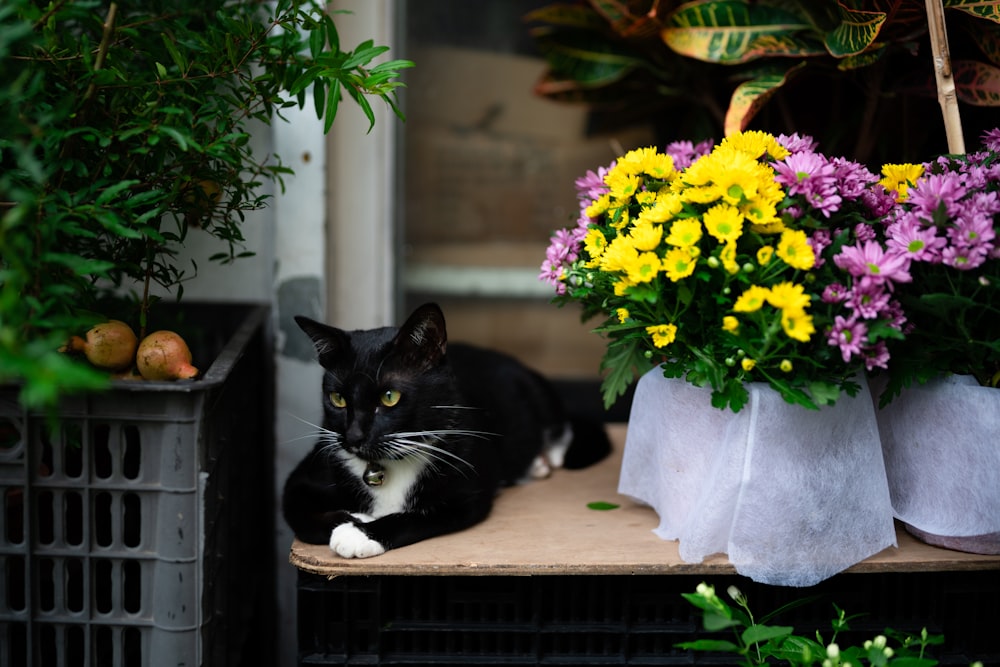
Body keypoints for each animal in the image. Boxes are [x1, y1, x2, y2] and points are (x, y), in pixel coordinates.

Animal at [282, 302, 608, 560]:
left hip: (537, 395)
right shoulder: (311, 469)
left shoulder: (466, 493)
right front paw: (351, 519)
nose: (354, 437)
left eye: (389, 397)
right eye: (338, 399)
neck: (386, 465)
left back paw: (542, 461)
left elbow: (416, 516)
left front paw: (358, 533)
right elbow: (296, 510)